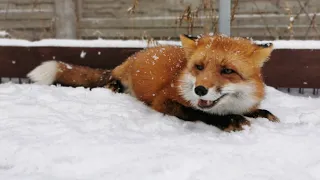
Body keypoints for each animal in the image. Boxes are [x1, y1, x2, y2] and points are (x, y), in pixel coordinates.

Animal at [26, 34, 278, 131]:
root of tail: (135, 55)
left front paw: (263, 114)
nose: (199, 89)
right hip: (119, 78)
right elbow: (197, 112)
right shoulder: (164, 101)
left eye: (227, 71)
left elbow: (258, 112)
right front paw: (229, 121)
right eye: (199, 67)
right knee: (112, 82)